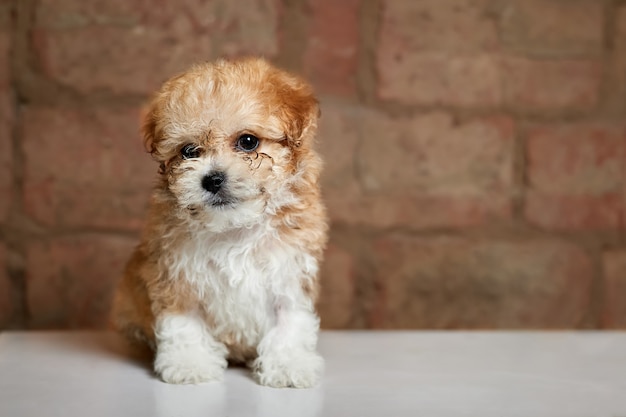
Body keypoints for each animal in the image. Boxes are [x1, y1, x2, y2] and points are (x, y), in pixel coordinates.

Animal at [110, 57, 330, 386]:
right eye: (189, 151)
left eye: (248, 142)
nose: (212, 179)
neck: (234, 227)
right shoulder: (175, 274)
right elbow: (183, 323)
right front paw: (189, 363)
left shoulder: (289, 273)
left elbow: (290, 323)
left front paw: (288, 365)